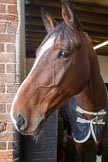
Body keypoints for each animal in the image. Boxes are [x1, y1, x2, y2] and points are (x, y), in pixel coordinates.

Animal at [10, 0, 107, 162]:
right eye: (37, 53)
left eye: (64, 53)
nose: (17, 117)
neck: (92, 108)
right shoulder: (78, 137)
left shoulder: (99, 136)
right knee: (67, 125)